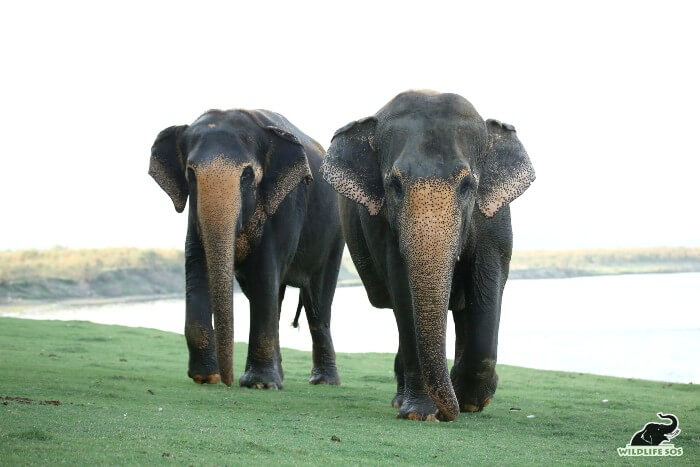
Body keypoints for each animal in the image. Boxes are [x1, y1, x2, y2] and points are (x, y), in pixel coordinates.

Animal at [149, 108, 344, 390]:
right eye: (191, 174)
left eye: (247, 175)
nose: (227, 380)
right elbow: (197, 266)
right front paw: (205, 377)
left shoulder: (286, 203)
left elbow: (264, 273)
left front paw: (258, 384)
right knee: (275, 298)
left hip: (335, 236)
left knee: (317, 302)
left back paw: (323, 382)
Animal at [322, 89, 536, 422]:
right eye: (394, 184)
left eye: (468, 185)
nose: (449, 414)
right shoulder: (383, 225)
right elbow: (402, 286)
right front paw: (419, 414)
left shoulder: (494, 217)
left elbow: (488, 273)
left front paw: (471, 401)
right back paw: (402, 400)